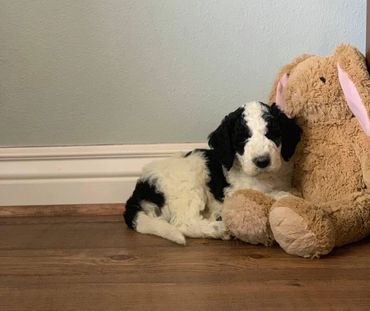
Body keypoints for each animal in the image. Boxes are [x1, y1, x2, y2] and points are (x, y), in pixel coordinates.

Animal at [123, 101, 300, 245]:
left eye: (273, 134)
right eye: (242, 139)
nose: (262, 161)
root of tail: (142, 187)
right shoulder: (236, 191)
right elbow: (267, 194)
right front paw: (286, 197)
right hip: (188, 185)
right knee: (184, 223)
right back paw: (220, 229)